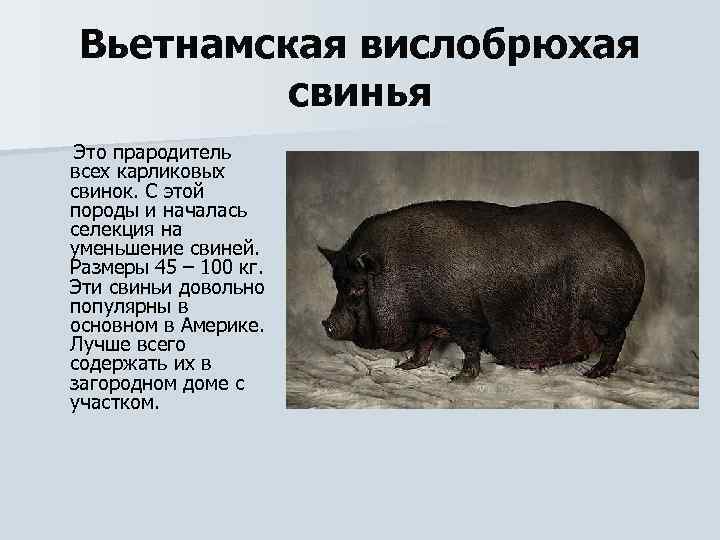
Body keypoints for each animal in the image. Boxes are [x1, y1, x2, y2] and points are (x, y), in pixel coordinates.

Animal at [318, 200, 645, 382]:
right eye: (338, 284)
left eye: (357, 288)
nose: (327, 323)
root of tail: (631, 248)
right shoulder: (428, 320)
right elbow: (423, 345)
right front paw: (404, 367)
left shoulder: (464, 318)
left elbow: (470, 347)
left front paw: (458, 380)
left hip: (605, 314)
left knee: (617, 339)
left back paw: (594, 373)